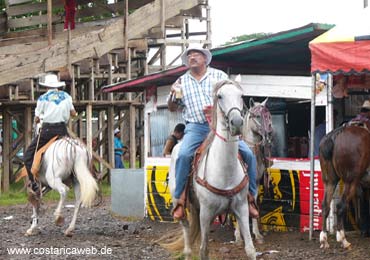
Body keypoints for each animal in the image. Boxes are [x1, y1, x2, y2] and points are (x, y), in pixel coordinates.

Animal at [169, 79, 256, 260]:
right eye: (220, 96)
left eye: (241, 95)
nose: (237, 123)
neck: (226, 171)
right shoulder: (206, 213)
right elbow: (204, 250)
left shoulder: (242, 208)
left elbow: (250, 249)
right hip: (180, 203)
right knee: (186, 232)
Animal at [236, 98, 274, 245]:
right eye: (257, 116)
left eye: (269, 115)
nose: (269, 133)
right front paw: (238, 236)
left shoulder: (255, 184)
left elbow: (253, 204)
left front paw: (257, 234)